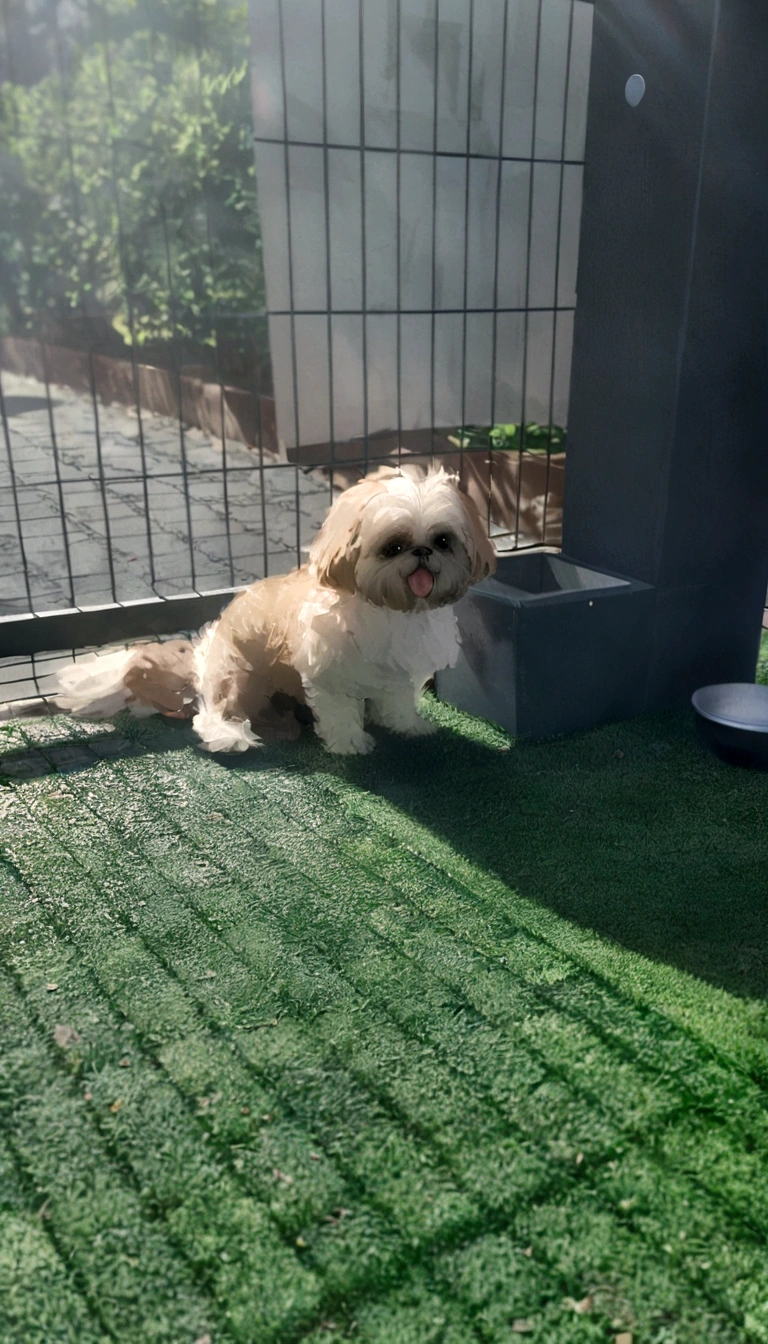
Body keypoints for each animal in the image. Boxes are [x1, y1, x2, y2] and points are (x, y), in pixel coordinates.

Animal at [57, 465, 494, 758]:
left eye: (443, 540)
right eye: (394, 546)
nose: (422, 552)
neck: (390, 611)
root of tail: (200, 662)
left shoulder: (399, 671)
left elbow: (399, 701)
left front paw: (407, 726)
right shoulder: (328, 674)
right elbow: (339, 711)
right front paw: (350, 743)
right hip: (238, 675)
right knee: (214, 713)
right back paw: (232, 736)